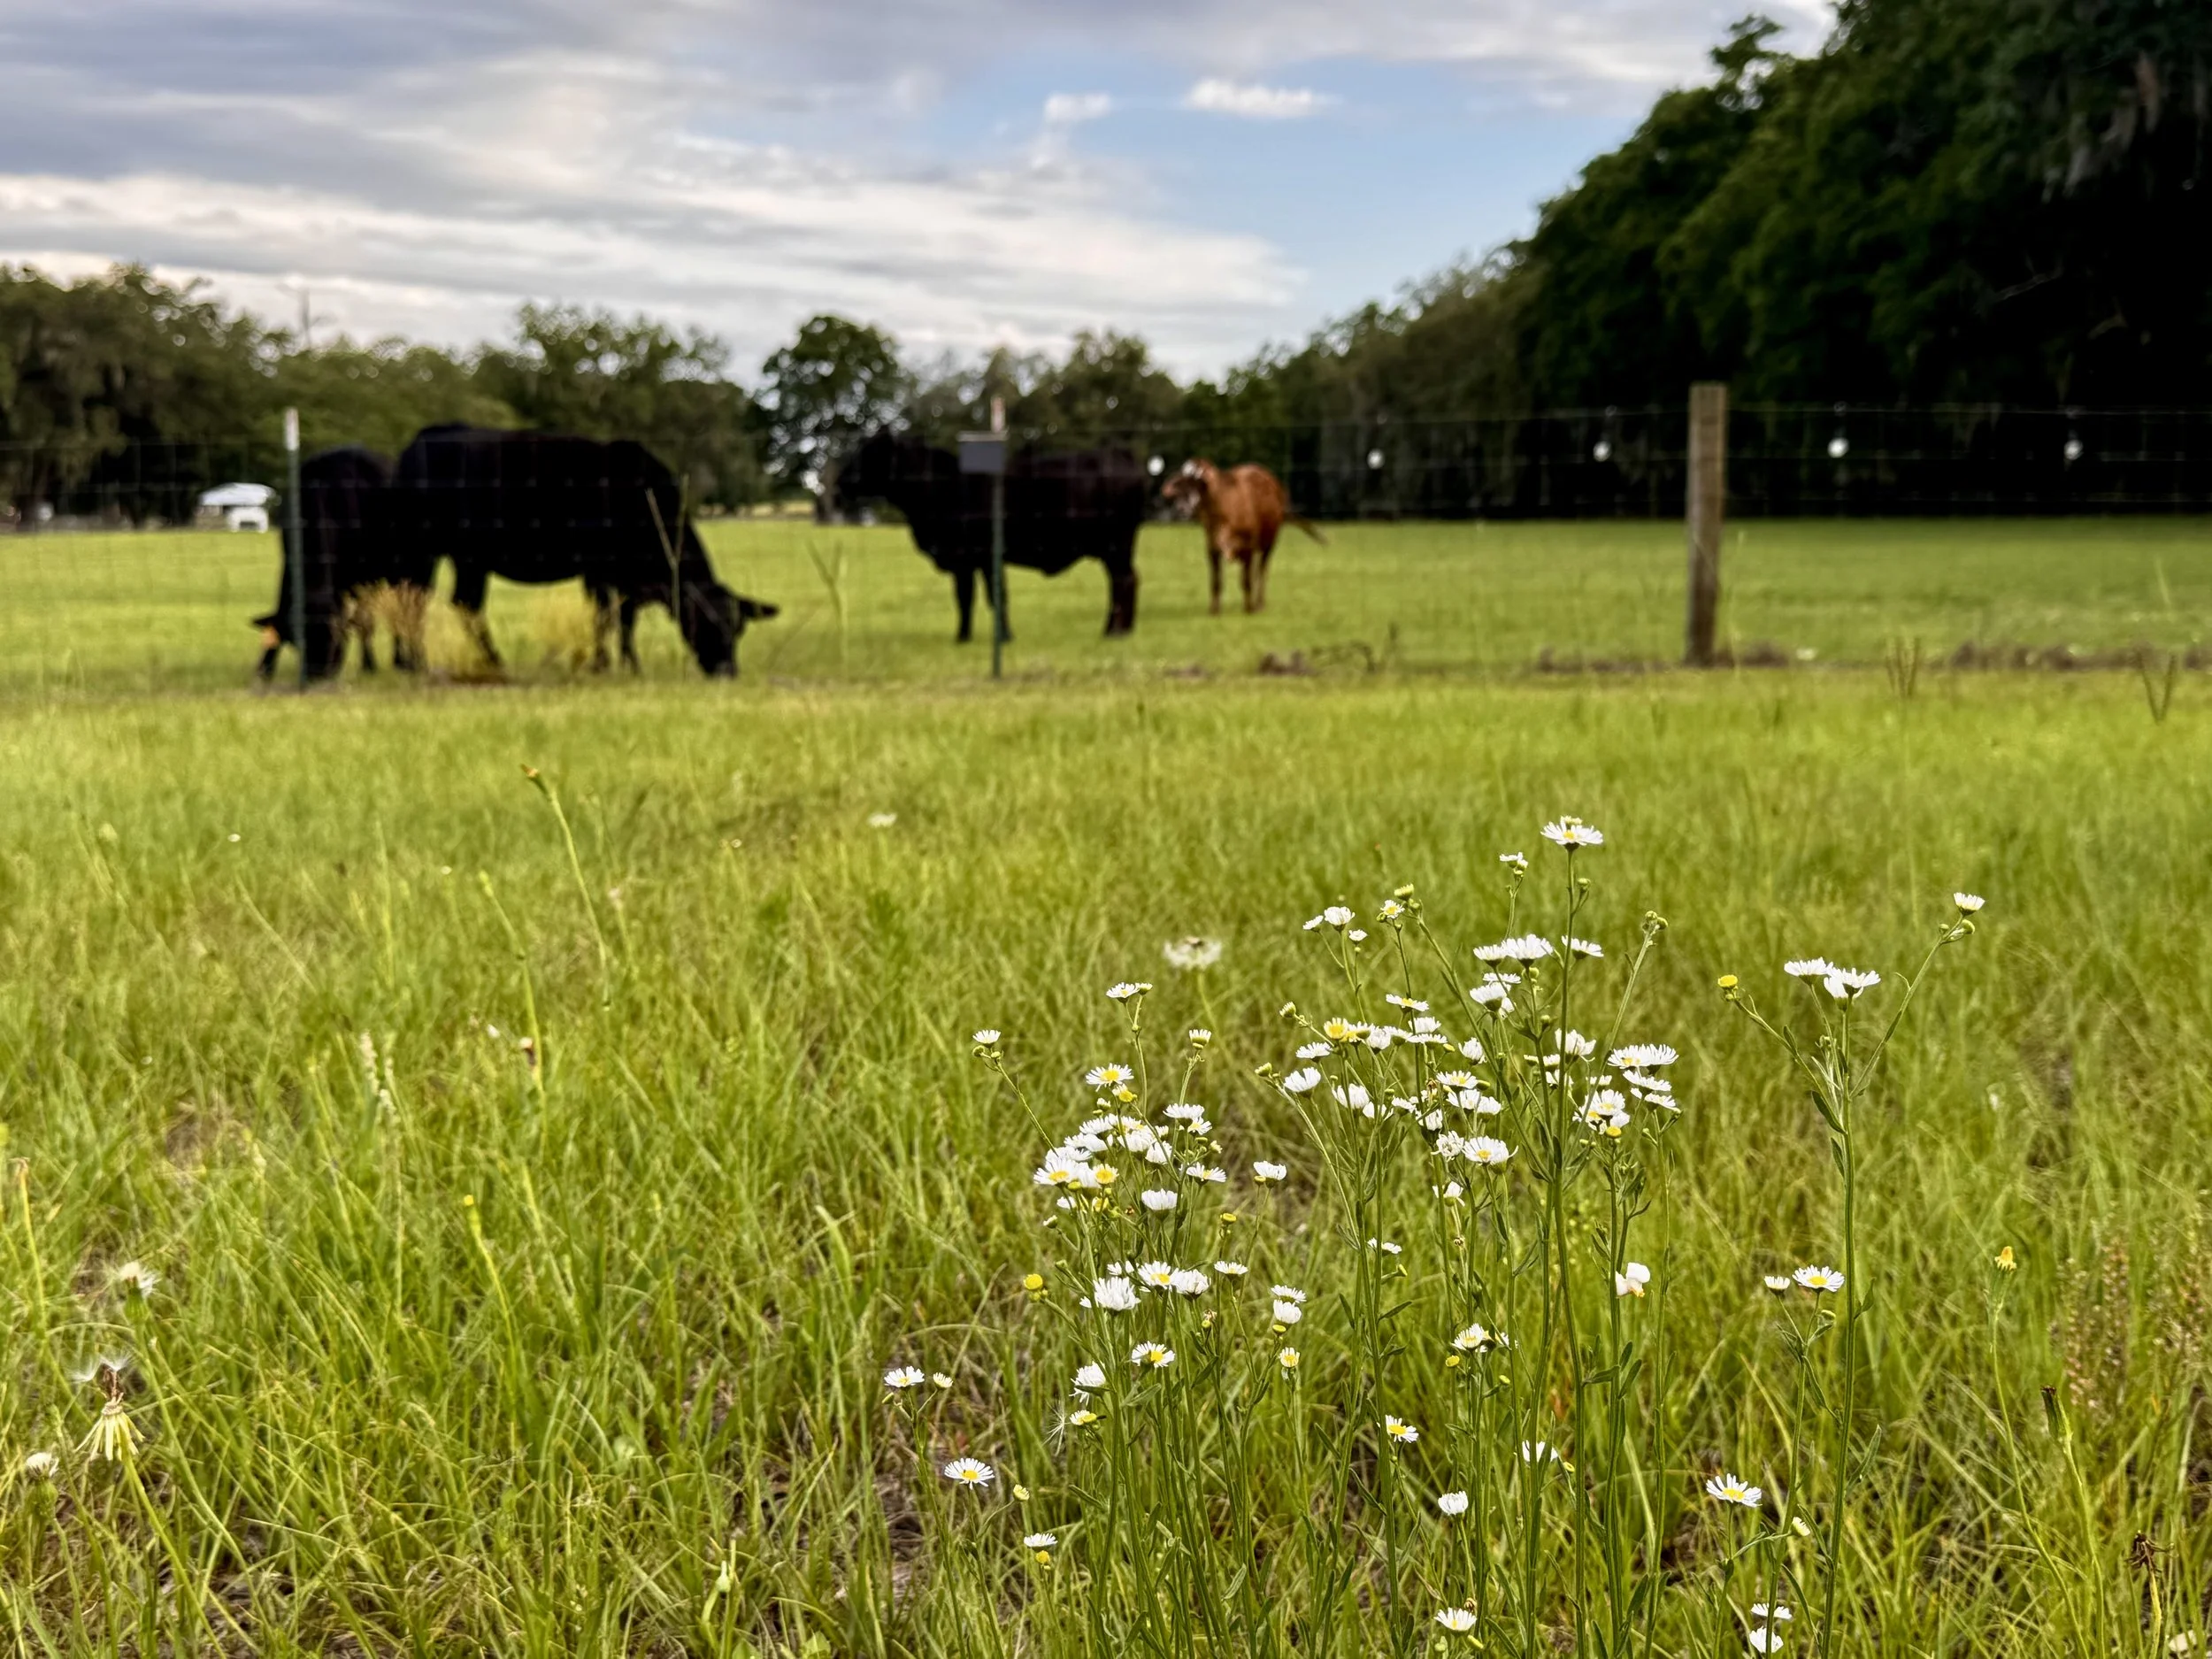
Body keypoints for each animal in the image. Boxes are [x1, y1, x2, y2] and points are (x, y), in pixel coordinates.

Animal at [252, 446, 425, 681]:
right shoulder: (290, 564)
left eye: (334, 636)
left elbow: (364, 621)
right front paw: (265, 667)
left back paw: (407, 661)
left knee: (406, 612)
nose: (318, 673)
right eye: (299, 640)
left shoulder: (360, 577)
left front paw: (369, 665)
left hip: (403, 571)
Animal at [386, 427, 777, 676]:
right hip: (425, 548)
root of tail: (424, 438)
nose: (727, 670)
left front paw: (631, 665)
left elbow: (626, 620)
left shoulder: (627, 579)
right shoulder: (599, 569)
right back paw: (436, 662)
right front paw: (602, 665)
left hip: (468, 558)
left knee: (449, 601)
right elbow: (605, 617)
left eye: (738, 628)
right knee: (418, 598)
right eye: (704, 622)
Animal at [834, 431, 1146, 639]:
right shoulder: (968, 560)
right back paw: (1121, 629)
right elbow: (967, 597)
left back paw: (1114, 632)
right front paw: (964, 637)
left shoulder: (977, 555)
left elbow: (990, 596)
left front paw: (999, 637)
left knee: (1122, 581)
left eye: (869, 454)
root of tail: (1119, 453)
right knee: (1126, 579)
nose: (840, 480)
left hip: (1116, 543)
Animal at [1160, 459, 1325, 615]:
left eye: (1198, 483)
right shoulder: (1211, 547)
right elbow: (1216, 581)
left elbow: (1246, 581)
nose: (1181, 507)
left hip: (1269, 543)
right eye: (1182, 483)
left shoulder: (1248, 547)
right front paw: (1214, 610)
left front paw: (1249, 609)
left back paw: (1259, 603)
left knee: (1261, 571)